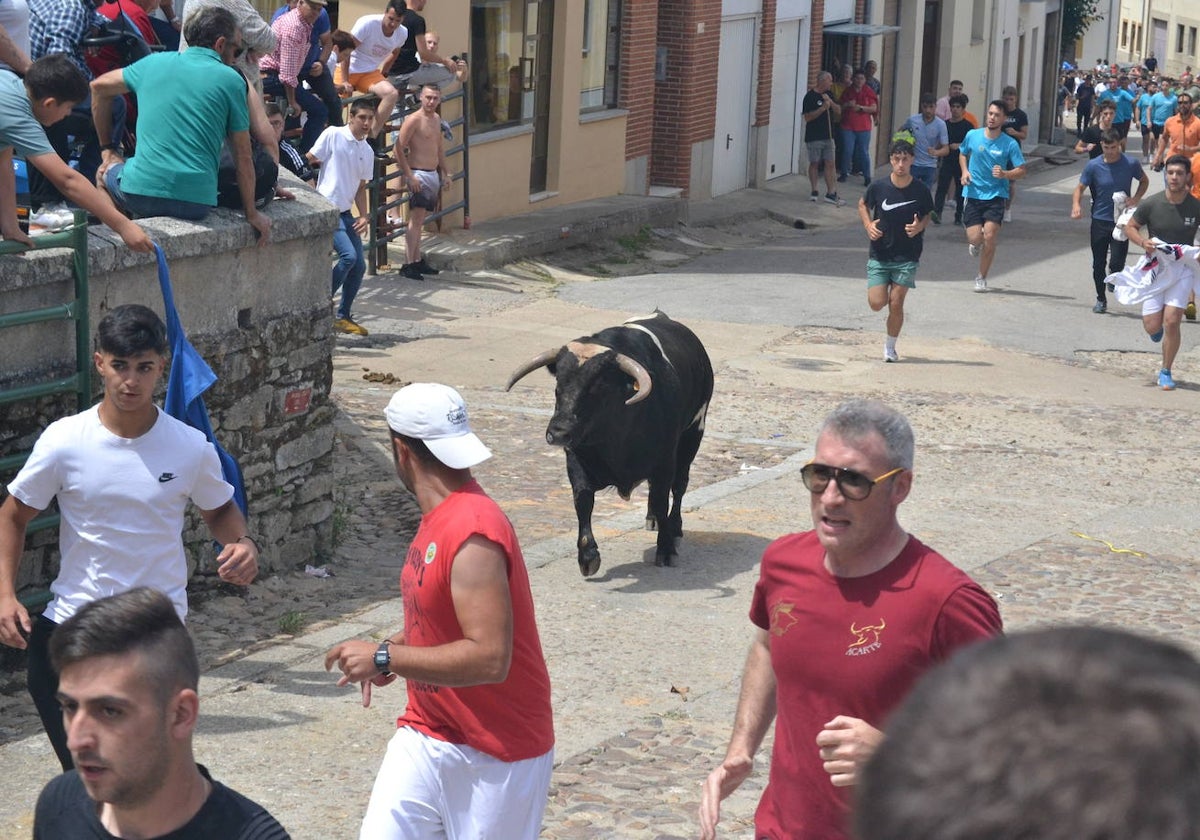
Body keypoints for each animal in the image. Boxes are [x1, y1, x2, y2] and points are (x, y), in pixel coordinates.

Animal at [504, 312, 710, 573]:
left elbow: (663, 499)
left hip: (693, 435)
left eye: (597, 387)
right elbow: (583, 500)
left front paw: (666, 549)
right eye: (558, 384)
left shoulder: (665, 461)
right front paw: (588, 556)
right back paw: (651, 518)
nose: (558, 432)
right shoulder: (576, 457)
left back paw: (675, 528)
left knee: (680, 486)